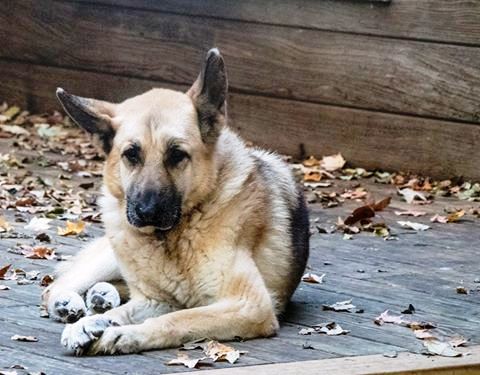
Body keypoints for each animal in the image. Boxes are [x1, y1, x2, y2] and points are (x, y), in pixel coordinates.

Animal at [42, 47, 312, 356]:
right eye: (131, 154)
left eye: (176, 155)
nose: (146, 212)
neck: (175, 236)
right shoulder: (155, 301)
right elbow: (127, 313)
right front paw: (90, 324)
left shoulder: (247, 305)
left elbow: (178, 319)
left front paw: (122, 333)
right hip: (110, 251)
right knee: (54, 287)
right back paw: (70, 303)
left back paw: (101, 296)